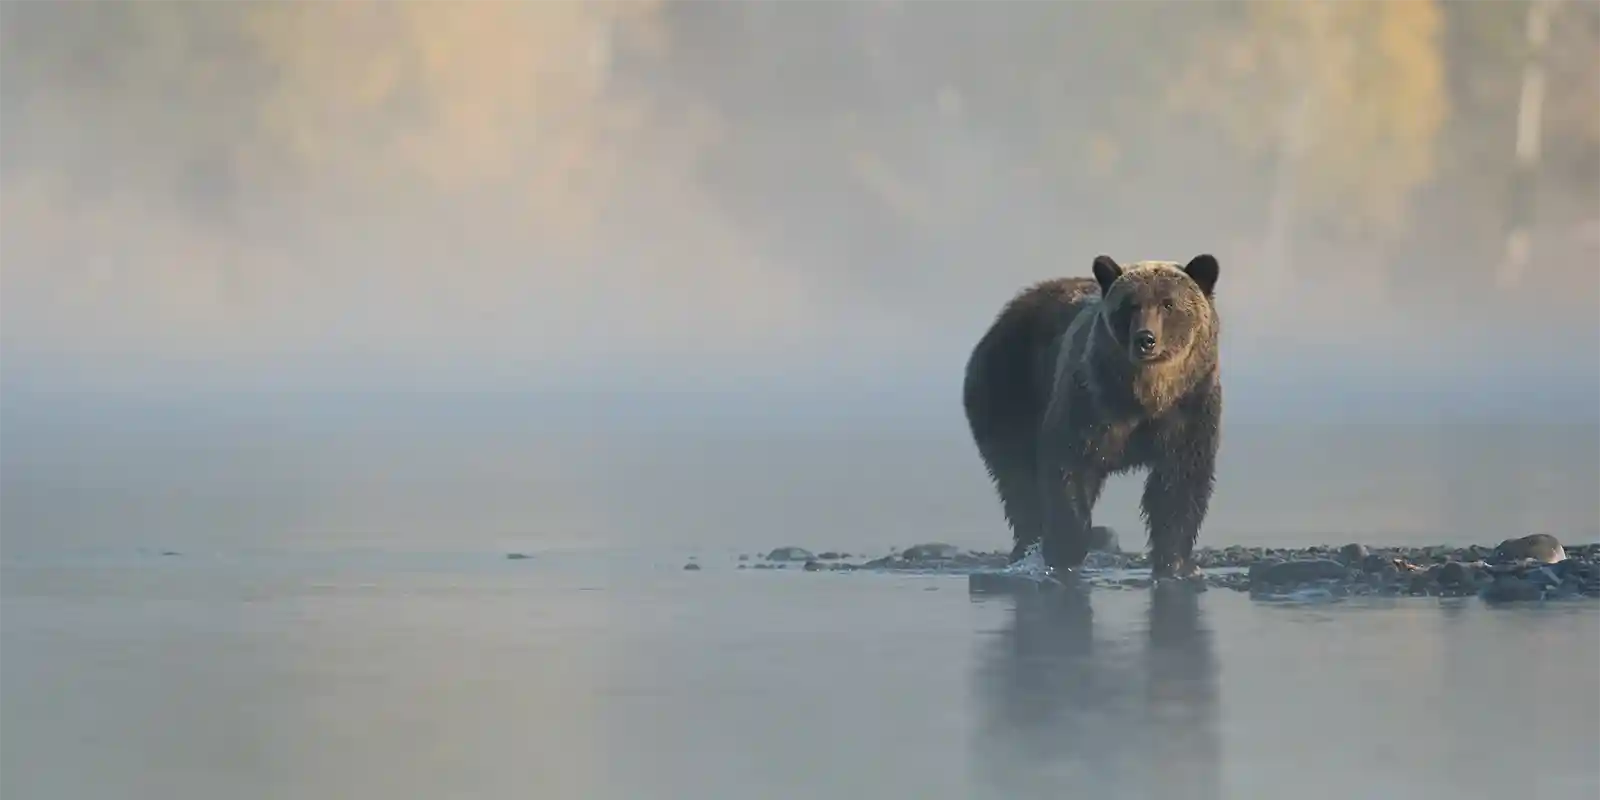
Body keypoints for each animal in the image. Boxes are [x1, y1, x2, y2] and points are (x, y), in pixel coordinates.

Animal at [962, 254, 1222, 578]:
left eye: (1168, 303)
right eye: (1130, 304)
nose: (1145, 339)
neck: (1145, 396)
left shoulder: (1189, 409)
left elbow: (1179, 483)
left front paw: (1176, 563)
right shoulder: (1090, 402)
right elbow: (1069, 467)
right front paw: (1065, 553)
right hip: (1009, 387)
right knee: (1018, 479)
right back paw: (1026, 547)